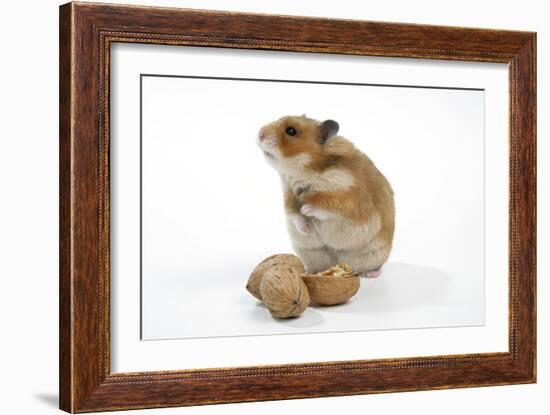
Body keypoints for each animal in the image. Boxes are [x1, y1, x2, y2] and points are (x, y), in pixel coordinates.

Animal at [256, 115, 394, 278]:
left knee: (376, 266)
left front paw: (306, 209)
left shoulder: (346, 199)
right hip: (312, 253)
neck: (303, 170)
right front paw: (306, 228)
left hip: (374, 254)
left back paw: (371, 274)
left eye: (291, 131)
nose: (260, 134)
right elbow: (295, 216)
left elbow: (322, 207)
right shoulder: (289, 196)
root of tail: (338, 262)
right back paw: (308, 272)